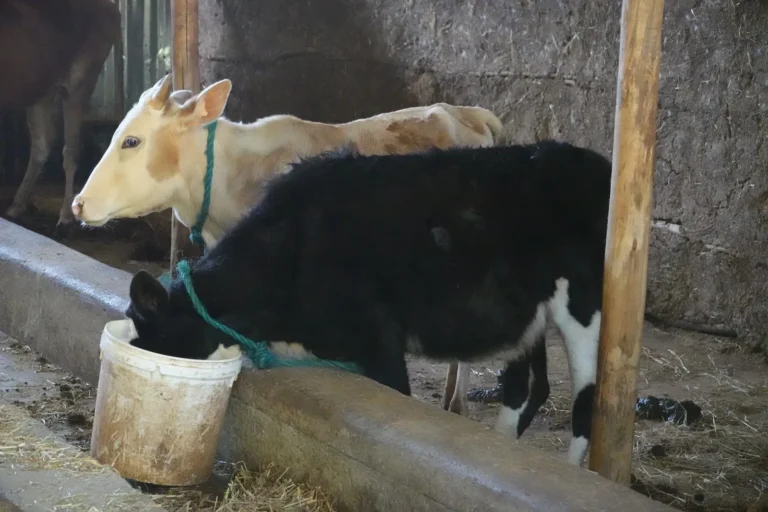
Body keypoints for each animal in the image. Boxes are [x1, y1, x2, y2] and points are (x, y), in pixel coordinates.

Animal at [1, 0, 121, 233]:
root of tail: (109, 7)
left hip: (80, 83)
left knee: (70, 149)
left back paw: (65, 216)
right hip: (40, 90)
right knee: (41, 146)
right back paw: (17, 205)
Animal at [124, 139, 611, 467]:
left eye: (160, 342)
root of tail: (596, 162)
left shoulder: (380, 340)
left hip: (585, 308)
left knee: (585, 405)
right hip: (528, 318)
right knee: (523, 387)